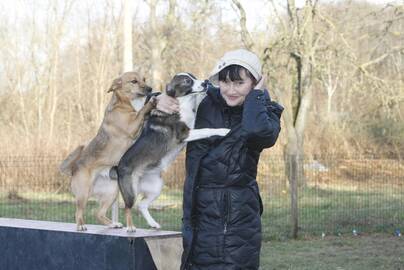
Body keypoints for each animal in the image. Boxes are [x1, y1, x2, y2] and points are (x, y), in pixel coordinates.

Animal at [59, 71, 155, 230]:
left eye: (144, 79)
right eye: (134, 81)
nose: (150, 89)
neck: (124, 104)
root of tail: (73, 168)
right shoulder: (131, 126)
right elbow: (141, 112)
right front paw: (150, 103)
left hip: (112, 193)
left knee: (99, 213)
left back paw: (113, 224)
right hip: (83, 194)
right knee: (78, 212)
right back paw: (81, 226)